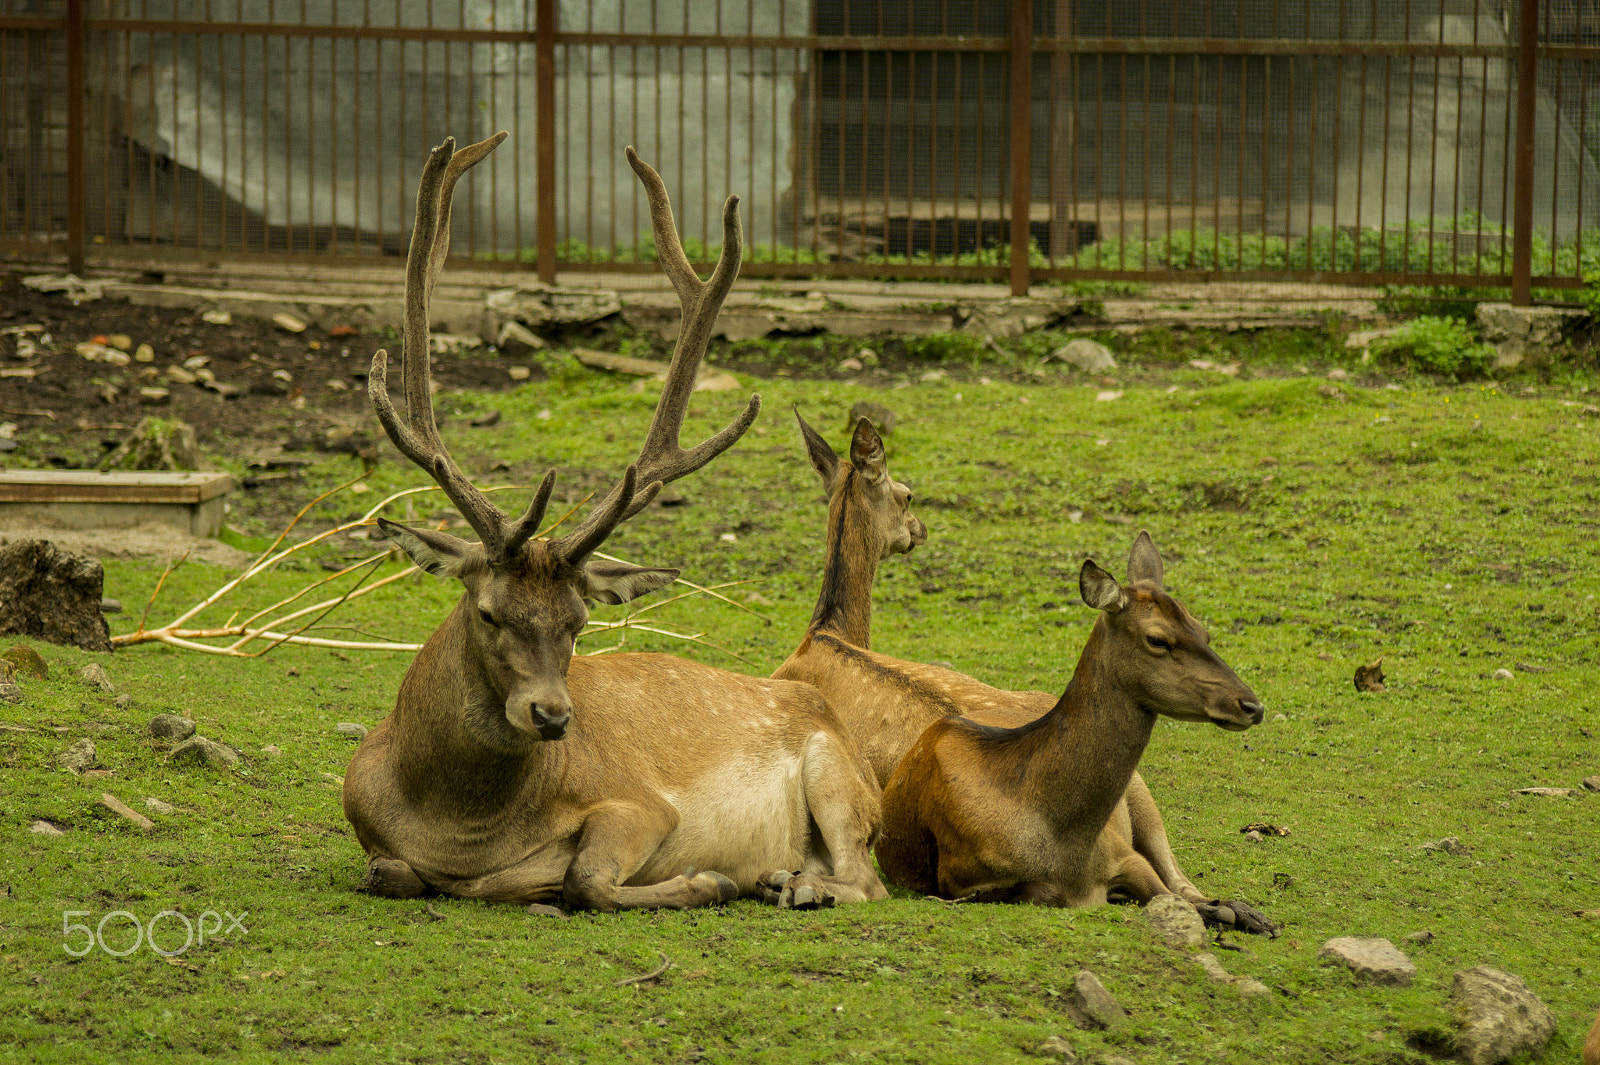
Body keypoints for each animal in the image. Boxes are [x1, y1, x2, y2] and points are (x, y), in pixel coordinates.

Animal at [340, 132, 889, 908]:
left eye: (579, 622)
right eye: (488, 612)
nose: (552, 716)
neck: (461, 837)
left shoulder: (639, 804)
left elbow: (587, 879)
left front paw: (707, 877)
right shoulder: (368, 831)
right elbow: (387, 870)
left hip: (838, 774)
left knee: (868, 880)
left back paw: (791, 883)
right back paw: (785, 876)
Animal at [876, 530, 1260, 901]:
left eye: (1204, 631)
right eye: (1157, 639)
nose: (1252, 706)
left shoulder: (1125, 854)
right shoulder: (962, 879)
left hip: (1142, 795)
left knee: (1184, 883)